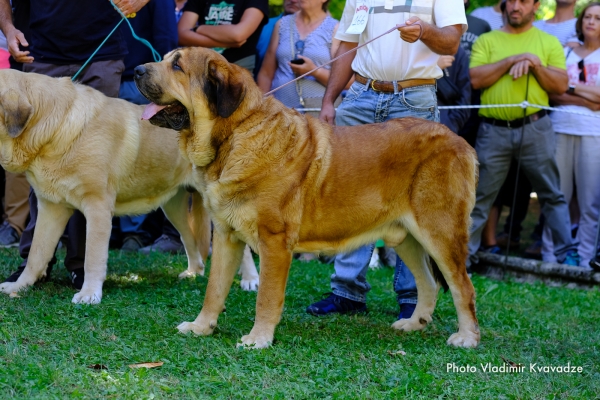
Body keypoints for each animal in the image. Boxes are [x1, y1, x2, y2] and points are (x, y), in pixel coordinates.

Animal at [137, 46, 482, 346]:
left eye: (177, 66)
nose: (137, 70)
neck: (235, 134)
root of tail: (460, 142)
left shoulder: (275, 242)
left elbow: (266, 296)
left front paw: (258, 339)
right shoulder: (226, 235)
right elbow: (214, 289)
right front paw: (201, 327)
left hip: (441, 233)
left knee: (462, 286)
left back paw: (467, 337)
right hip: (405, 237)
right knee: (428, 282)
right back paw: (414, 322)